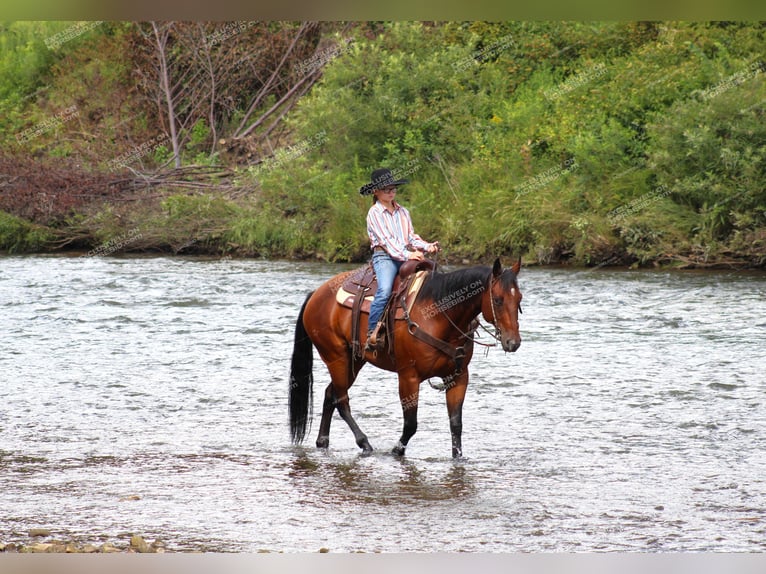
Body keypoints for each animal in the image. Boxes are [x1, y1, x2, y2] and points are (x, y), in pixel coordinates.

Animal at [292, 258, 524, 462]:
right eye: (498, 300)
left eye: (519, 299)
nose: (513, 342)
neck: (440, 316)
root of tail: (316, 294)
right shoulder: (408, 377)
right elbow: (411, 424)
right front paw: (397, 450)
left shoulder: (458, 377)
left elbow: (456, 423)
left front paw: (458, 458)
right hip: (336, 357)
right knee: (341, 400)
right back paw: (364, 443)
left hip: (354, 360)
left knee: (330, 393)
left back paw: (323, 441)